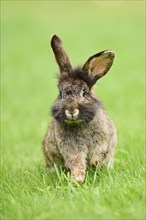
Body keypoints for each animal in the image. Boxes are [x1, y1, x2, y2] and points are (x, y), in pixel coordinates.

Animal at [42, 34, 116, 182]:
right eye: (60, 93)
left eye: (84, 92)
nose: (71, 110)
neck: (79, 124)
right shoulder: (71, 149)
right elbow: (76, 162)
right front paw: (77, 179)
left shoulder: (102, 142)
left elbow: (98, 156)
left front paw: (93, 165)